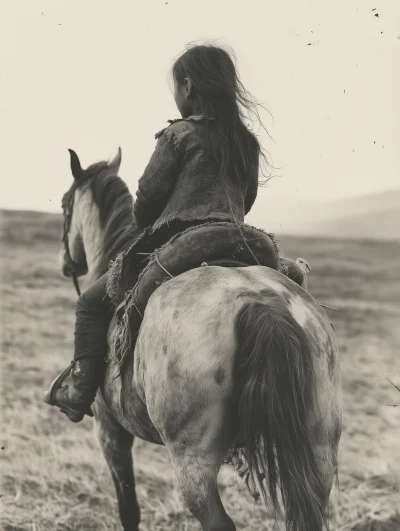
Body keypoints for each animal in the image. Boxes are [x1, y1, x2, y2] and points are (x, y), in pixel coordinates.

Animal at [57, 147, 342, 531]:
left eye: (64, 204)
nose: (66, 263)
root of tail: (261, 302)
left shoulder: (110, 431)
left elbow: (129, 508)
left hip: (193, 459)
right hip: (319, 447)